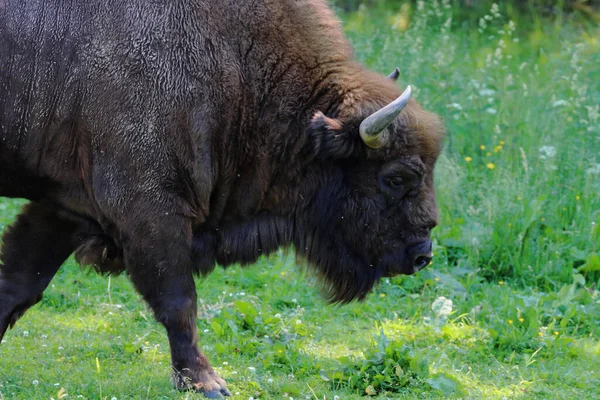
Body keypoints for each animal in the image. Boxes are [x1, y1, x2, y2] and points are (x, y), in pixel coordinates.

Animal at [1, 0, 446, 396]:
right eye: (396, 177)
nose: (422, 255)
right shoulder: (151, 217)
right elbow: (179, 302)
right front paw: (207, 383)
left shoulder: (66, 209)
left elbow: (20, 283)